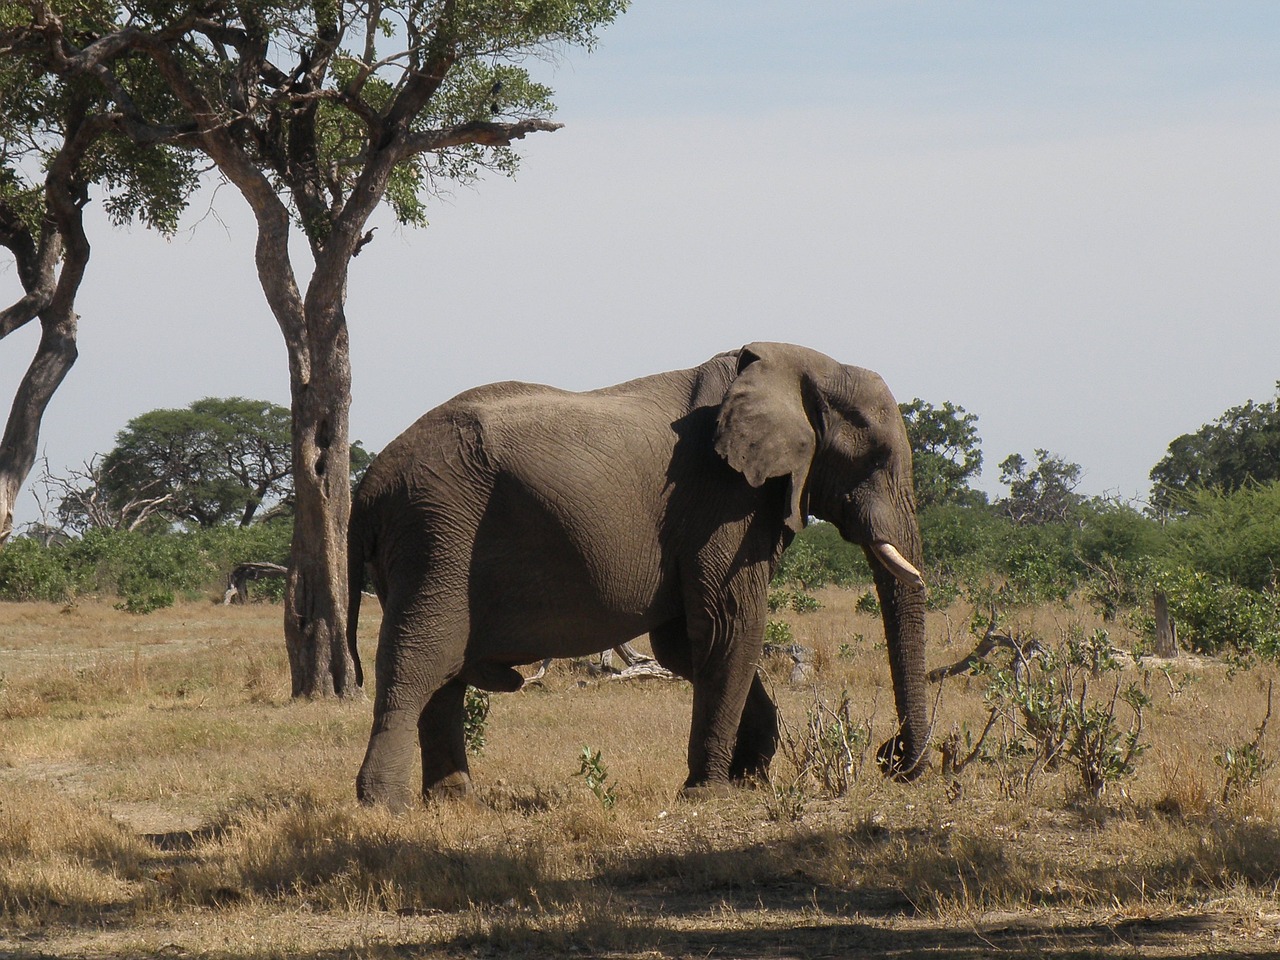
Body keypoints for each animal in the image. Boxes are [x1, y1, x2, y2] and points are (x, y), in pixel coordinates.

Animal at [348, 343, 931, 808]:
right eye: (878, 458)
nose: (892, 758)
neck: (793, 364)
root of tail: (368, 486)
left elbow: (686, 646)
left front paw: (749, 779)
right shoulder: (723, 500)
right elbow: (730, 629)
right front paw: (710, 793)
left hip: (429, 538)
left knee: (442, 673)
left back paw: (455, 802)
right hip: (437, 531)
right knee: (422, 659)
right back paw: (387, 806)